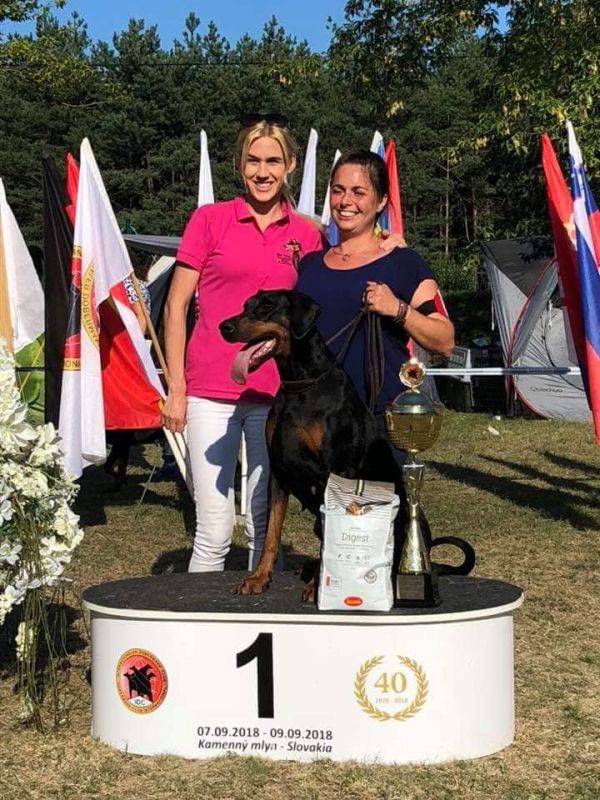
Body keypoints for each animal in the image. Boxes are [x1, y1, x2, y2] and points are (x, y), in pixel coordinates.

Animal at [220, 289, 474, 598]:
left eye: (267, 306)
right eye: (246, 305)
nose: (224, 327)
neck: (302, 385)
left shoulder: (333, 472)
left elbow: (326, 533)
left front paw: (317, 586)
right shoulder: (279, 472)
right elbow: (271, 531)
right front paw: (259, 577)